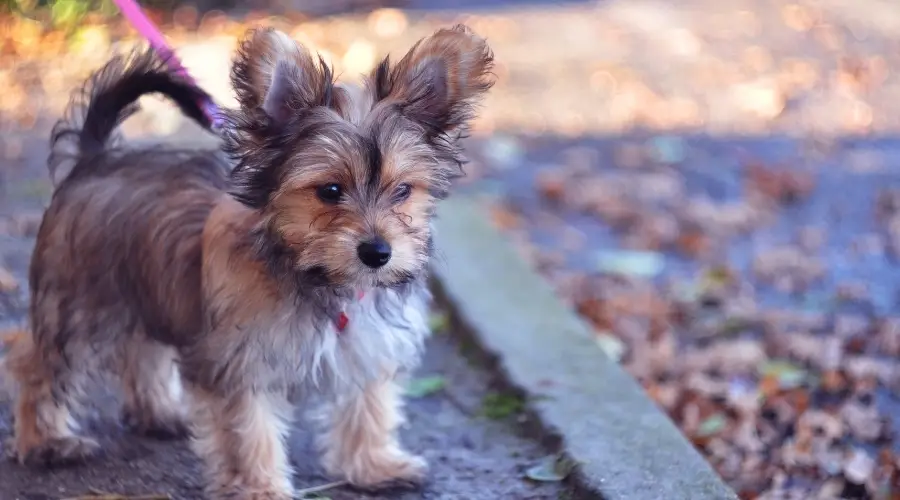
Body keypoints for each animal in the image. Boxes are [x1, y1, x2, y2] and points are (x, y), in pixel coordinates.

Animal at [1, 22, 492, 496]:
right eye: (330, 190)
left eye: (403, 190)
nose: (377, 252)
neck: (317, 277)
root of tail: (94, 158)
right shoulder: (240, 363)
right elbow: (247, 432)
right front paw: (258, 487)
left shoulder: (367, 346)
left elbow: (369, 407)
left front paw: (374, 465)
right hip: (79, 305)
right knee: (38, 364)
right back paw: (47, 441)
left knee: (142, 350)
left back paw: (159, 412)